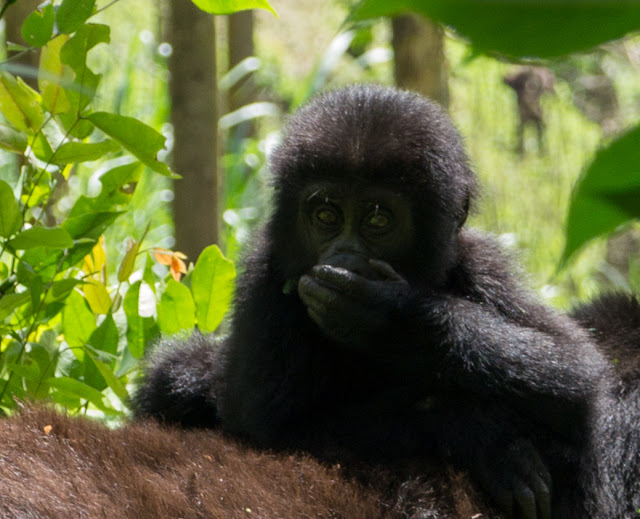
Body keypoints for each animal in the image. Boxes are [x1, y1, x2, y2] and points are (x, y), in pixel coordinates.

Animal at [134, 85, 636, 519]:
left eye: (377, 220)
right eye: (326, 215)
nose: (344, 256)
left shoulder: (480, 261)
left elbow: (574, 374)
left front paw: (389, 315)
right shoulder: (266, 271)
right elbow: (268, 430)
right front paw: (481, 432)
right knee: (178, 374)